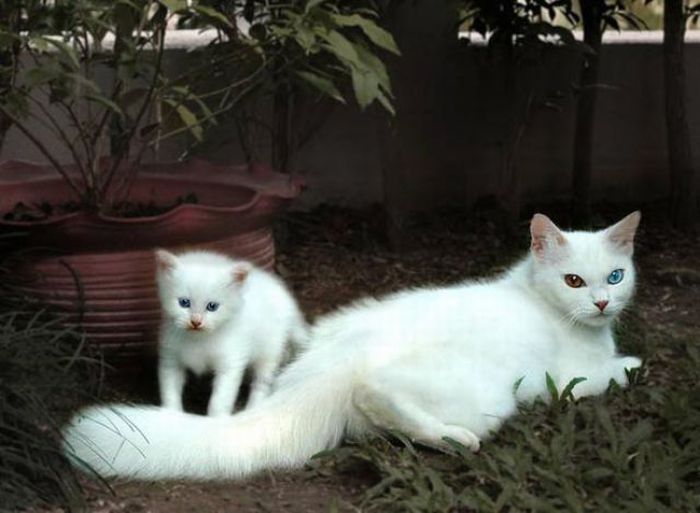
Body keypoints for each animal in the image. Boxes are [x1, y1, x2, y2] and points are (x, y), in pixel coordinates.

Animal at [154, 249, 308, 416]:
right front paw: (170, 415)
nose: (195, 322)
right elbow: (169, 392)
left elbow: (219, 400)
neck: (199, 338)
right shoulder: (170, 359)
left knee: (262, 382)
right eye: (184, 303)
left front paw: (216, 419)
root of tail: (287, 302)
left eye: (212, 306)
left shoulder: (230, 362)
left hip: (269, 350)